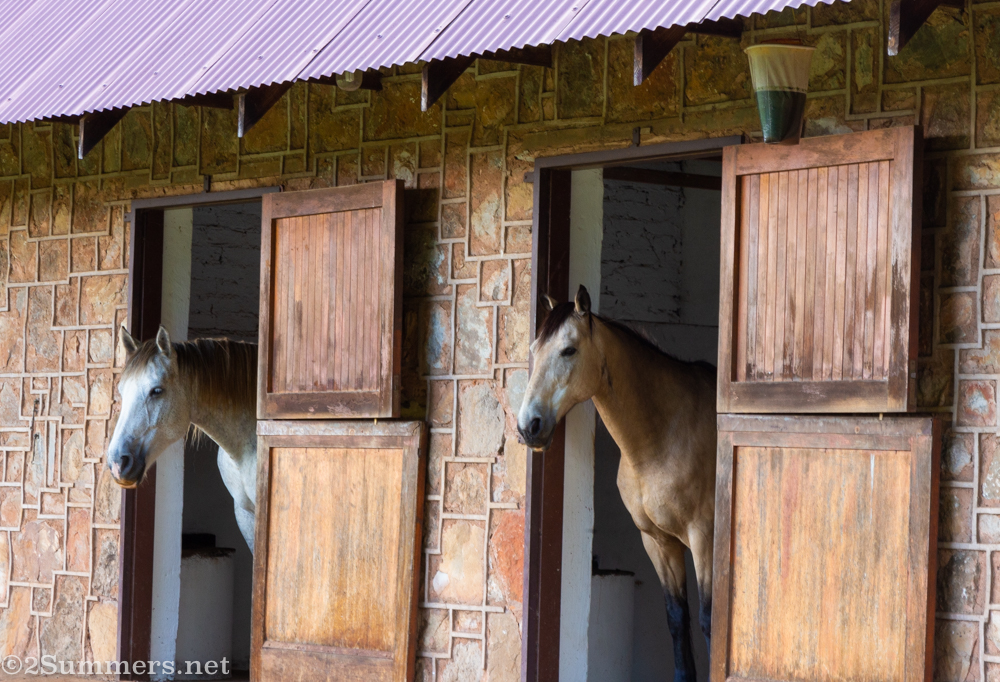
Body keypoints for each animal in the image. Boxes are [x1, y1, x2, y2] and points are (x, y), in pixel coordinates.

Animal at [517, 285, 717, 682]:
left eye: (568, 349)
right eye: (534, 349)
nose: (528, 425)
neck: (665, 434)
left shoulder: (704, 537)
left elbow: (708, 621)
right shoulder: (658, 542)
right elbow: (677, 619)